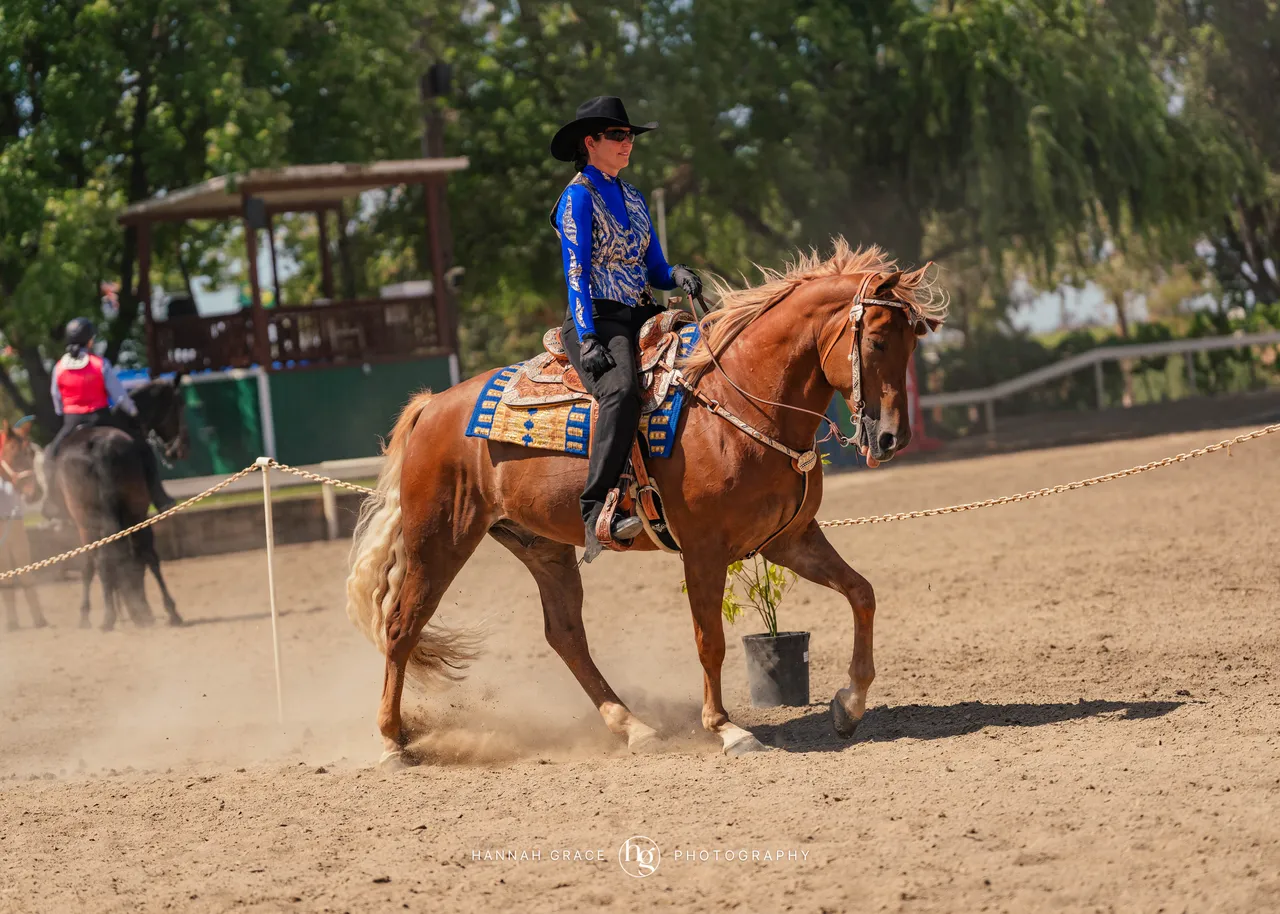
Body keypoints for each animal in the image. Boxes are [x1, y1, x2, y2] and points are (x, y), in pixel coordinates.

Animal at [55, 378, 189, 631]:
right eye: (179, 404)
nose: (180, 449)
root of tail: (96, 447)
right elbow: (145, 559)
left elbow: (91, 564)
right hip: (133, 514)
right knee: (141, 555)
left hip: (88, 521)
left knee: (101, 560)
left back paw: (109, 616)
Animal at [346, 240, 945, 768]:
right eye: (876, 341)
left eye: (913, 343)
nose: (892, 438)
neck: (736, 401)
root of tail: (431, 407)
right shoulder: (703, 552)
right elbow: (711, 642)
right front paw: (726, 729)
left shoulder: (789, 540)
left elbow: (861, 593)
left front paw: (850, 705)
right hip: (438, 542)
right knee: (402, 627)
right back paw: (392, 743)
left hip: (542, 547)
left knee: (565, 635)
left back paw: (632, 726)